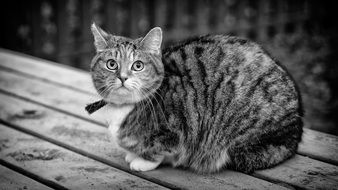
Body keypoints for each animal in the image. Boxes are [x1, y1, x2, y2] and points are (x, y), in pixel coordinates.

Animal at [88, 22, 304, 174]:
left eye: (138, 65)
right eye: (111, 64)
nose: (123, 77)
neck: (122, 109)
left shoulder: (178, 130)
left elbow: (161, 149)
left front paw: (142, 161)